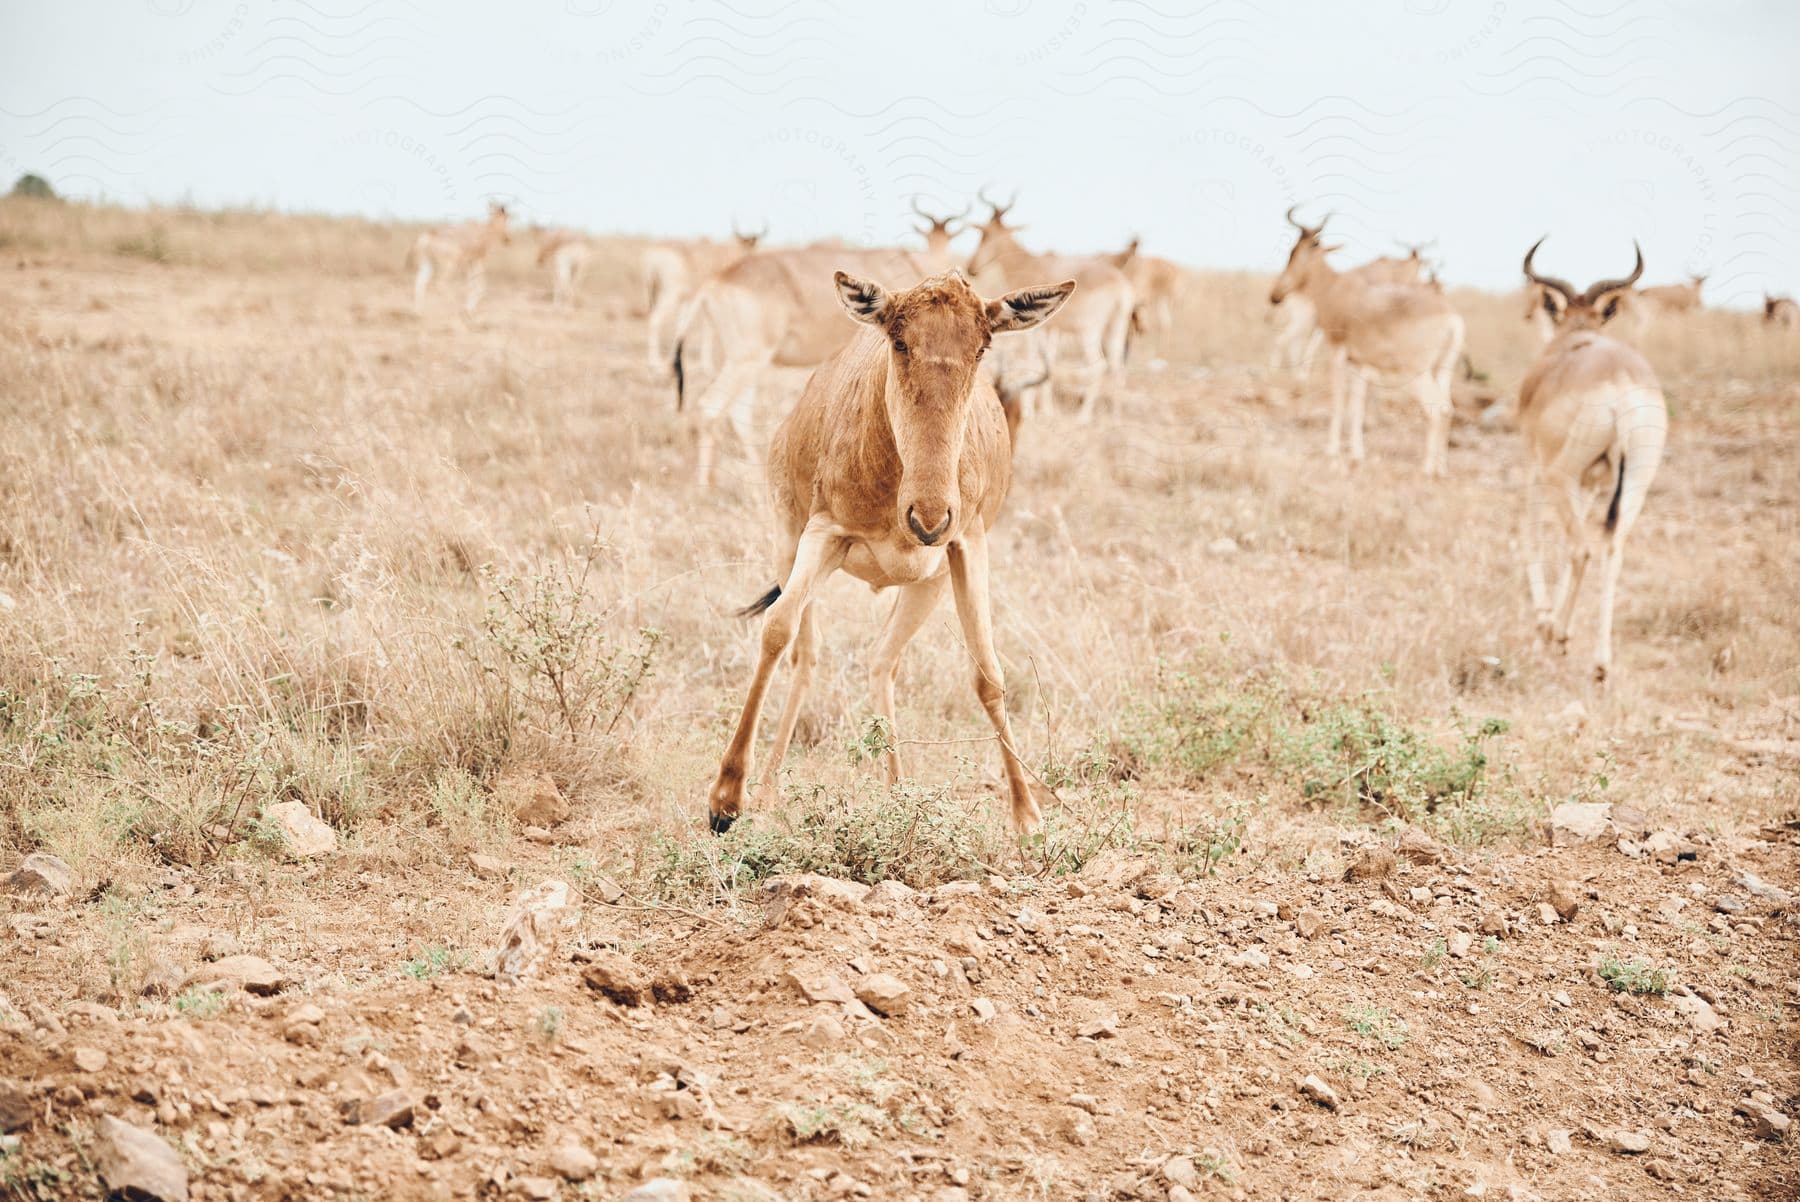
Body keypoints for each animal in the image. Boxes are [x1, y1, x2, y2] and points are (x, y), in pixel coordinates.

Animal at [644, 223, 763, 372]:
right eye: (750, 246)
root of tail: (653, 256)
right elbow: (708, 327)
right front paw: (707, 366)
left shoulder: (688, 299)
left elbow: (681, 326)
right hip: (670, 295)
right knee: (655, 320)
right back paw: (655, 363)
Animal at [698, 266, 1065, 831]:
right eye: (899, 341)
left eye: (982, 346)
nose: (928, 516)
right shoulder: (822, 534)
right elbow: (777, 632)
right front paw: (725, 801)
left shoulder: (967, 545)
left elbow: (988, 673)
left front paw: (1028, 821)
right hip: (788, 541)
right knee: (806, 655)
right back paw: (767, 791)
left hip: (927, 585)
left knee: (881, 661)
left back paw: (895, 795)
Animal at [964, 188, 1130, 422]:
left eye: (988, 233)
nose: (972, 267)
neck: (1030, 262)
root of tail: (1120, 285)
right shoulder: (1052, 329)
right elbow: (1048, 362)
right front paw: (1046, 410)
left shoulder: (1033, 330)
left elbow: (1032, 362)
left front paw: (1029, 410)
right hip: (1116, 328)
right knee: (1117, 367)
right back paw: (1115, 415)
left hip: (1089, 331)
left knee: (1099, 365)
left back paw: (1084, 416)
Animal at [1267, 206, 1461, 475]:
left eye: (1298, 250)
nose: (1275, 295)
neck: (1338, 286)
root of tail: (1449, 315)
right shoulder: (1359, 362)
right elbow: (1357, 405)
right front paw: (1357, 454)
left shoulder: (1338, 351)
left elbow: (1339, 400)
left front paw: (1332, 451)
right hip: (1443, 368)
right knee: (1446, 407)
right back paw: (1441, 468)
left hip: (1416, 372)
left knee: (1434, 409)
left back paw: (1426, 469)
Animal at [1512, 241, 1663, 683]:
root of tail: (1622, 383)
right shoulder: (1594, 484)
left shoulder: (1536, 465)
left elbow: (1531, 532)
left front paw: (1544, 619)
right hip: (1635, 484)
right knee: (1613, 549)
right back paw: (1600, 663)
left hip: (1560, 474)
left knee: (1582, 548)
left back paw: (1560, 633)